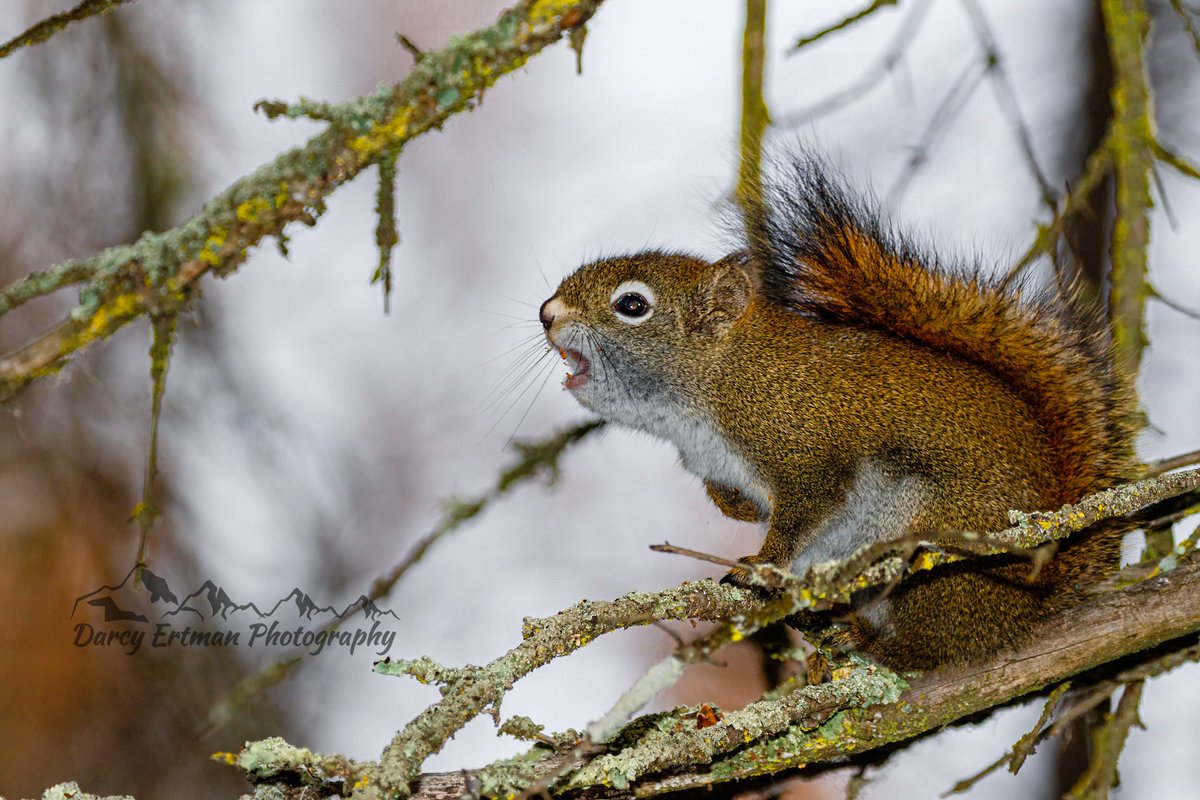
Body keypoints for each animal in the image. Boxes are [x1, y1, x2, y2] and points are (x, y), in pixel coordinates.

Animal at [537, 156, 1140, 671]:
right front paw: (733, 505)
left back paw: (876, 646)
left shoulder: (805, 446)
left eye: (632, 305)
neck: (719, 382)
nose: (547, 313)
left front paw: (759, 568)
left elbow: (807, 507)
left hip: (937, 552)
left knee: (932, 649)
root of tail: (1030, 606)